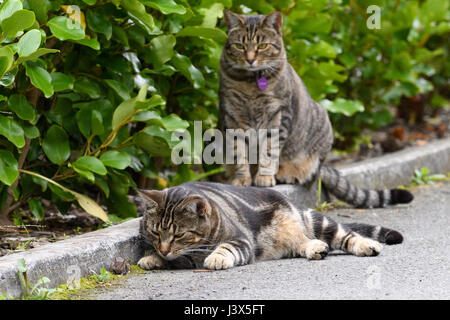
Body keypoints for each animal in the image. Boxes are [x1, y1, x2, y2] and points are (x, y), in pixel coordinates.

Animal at [136, 182, 400, 270]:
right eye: (155, 232)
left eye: (179, 235)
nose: (164, 249)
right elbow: (178, 258)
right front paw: (152, 258)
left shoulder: (240, 240)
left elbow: (223, 248)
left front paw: (216, 257)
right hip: (294, 240)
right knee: (303, 244)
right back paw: (316, 248)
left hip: (318, 221)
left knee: (348, 235)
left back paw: (367, 245)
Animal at [220, 10, 414, 208]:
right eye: (239, 46)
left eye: (263, 45)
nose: (250, 59)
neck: (250, 82)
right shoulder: (232, 116)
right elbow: (239, 153)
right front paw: (241, 179)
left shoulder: (279, 115)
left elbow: (268, 151)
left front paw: (265, 177)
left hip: (322, 128)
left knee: (310, 175)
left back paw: (287, 174)